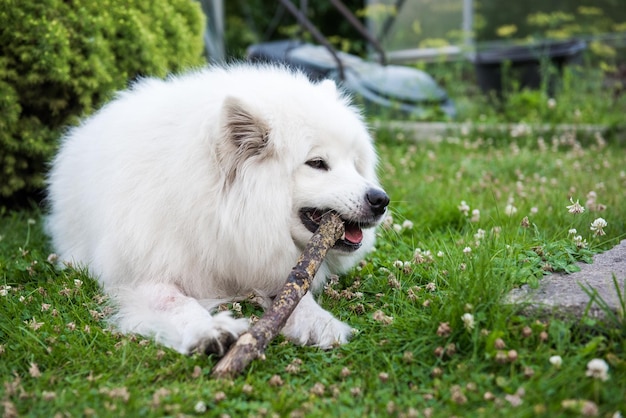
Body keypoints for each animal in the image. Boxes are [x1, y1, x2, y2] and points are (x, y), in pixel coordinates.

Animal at [45, 65, 386, 356]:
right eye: (317, 163)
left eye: (354, 164)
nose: (381, 199)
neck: (214, 214)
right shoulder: (141, 274)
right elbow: (175, 302)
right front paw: (209, 330)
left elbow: (291, 293)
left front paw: (318, 321)